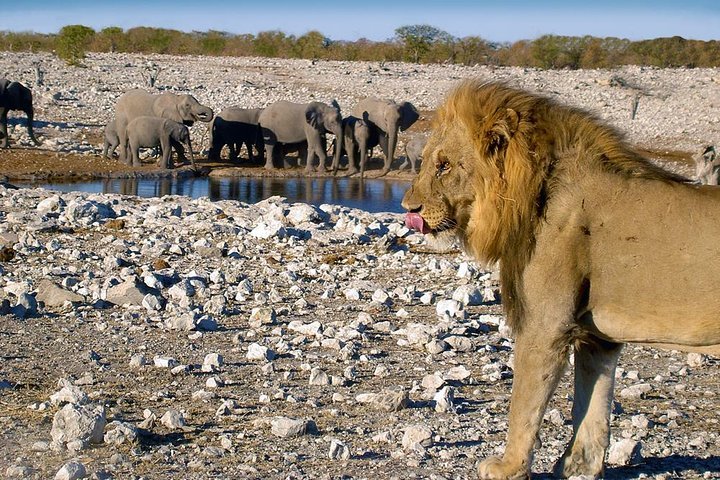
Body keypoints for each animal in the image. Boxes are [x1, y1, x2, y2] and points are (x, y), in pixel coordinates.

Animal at [402, 80, 720, 478]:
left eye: (443, 165)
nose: (407, 208)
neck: (532, 194)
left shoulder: (546, 325)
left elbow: (524, 404)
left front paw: (509, 467)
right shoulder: (597, 338)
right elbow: (592, 407)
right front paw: (578, 466)